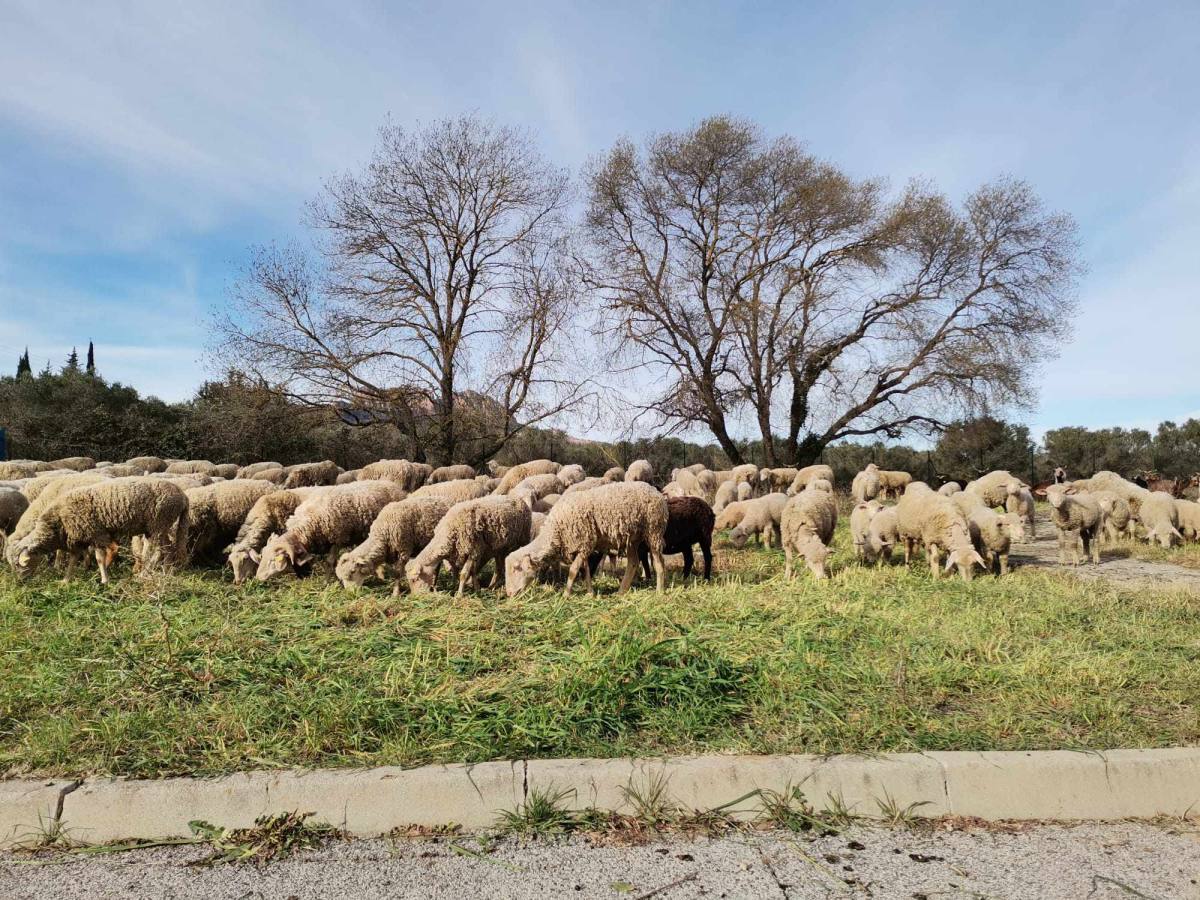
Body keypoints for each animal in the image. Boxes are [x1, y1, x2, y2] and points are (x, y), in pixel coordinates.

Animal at [8, 480, 187, 585]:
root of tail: (182, 495)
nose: (20, 582)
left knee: (158, 551)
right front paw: (65, 580)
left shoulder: (96, 534)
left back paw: (145, 573)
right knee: (168, 549)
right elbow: (73, 560)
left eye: (18, 564)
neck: (56, 521)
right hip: (160, 526)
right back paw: (167, 571)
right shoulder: (78, 539)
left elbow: (99, 558)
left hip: (158, 523)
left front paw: (104, 580)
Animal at [254, 482, 408, 580]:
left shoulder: (337, 539)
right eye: (263, 555)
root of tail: (394, 486)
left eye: (273, 560)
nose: (258, 577)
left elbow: (330, 562)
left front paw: (327, 581)